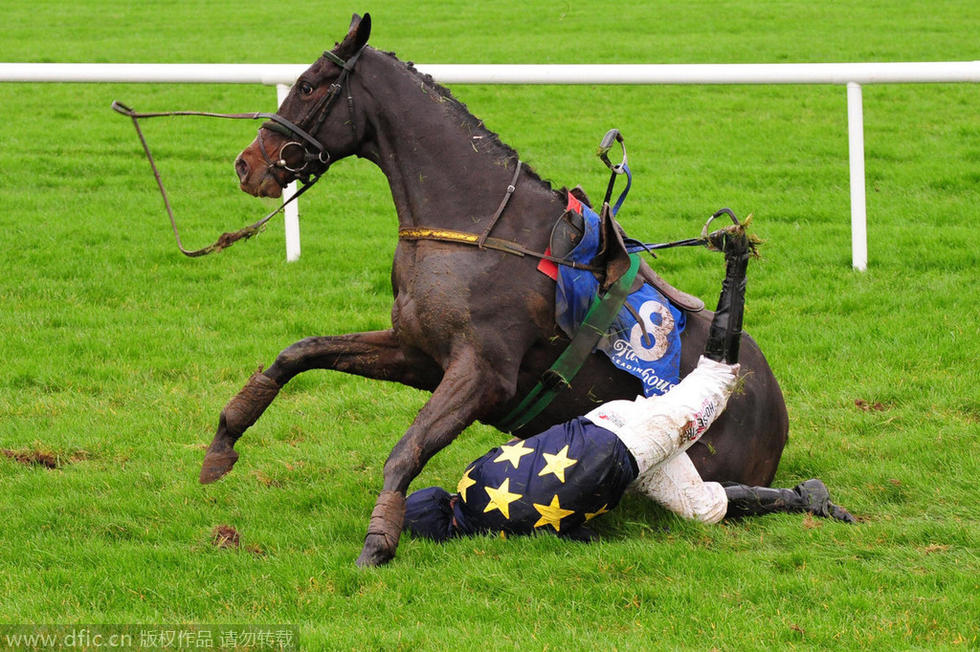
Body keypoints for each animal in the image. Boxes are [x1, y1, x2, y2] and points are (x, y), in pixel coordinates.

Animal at [203, 14, 792, 564]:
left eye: (308, 85)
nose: (245, 164)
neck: (477, 227)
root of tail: (776, 413)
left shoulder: (481, 373)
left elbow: (406, 449)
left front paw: (378, 541)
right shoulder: (419, 353)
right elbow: (299, 352)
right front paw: (224, 440)